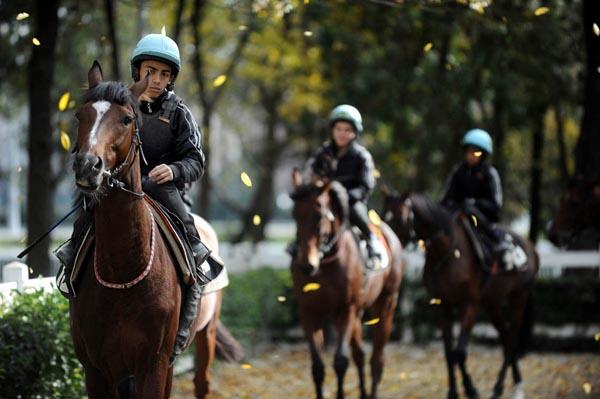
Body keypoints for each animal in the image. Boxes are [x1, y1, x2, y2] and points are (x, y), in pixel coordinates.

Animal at [69, 61, 239, 396]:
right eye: (81, 115)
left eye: (126, 119)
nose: (87, 166)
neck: (122, 270)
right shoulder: (97, 368)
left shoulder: (153, 362)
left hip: (205, 332)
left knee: (201, 380)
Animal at [290, 170, 404, 399]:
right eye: (295, 215)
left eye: (318, 215)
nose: (306, 265)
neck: (326, 261)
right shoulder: (309, 312)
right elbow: (317, 367)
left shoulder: (346, 308)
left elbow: (341, 361)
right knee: (360, 354)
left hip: (386, 303)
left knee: (377, 359)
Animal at [384, 191, 540, 399]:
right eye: (383, 216)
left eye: (401, 218)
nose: (389, 244)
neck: (447, 252)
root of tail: (531, 247)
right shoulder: (444, 306)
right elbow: (449, 353)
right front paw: (453, 392)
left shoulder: (470, 304)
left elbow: (459, 352)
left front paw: (470, 389)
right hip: (492, 303)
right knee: (506, 336)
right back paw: (515, 384)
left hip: (519, 297)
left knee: (512, 338)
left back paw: (502, 387)